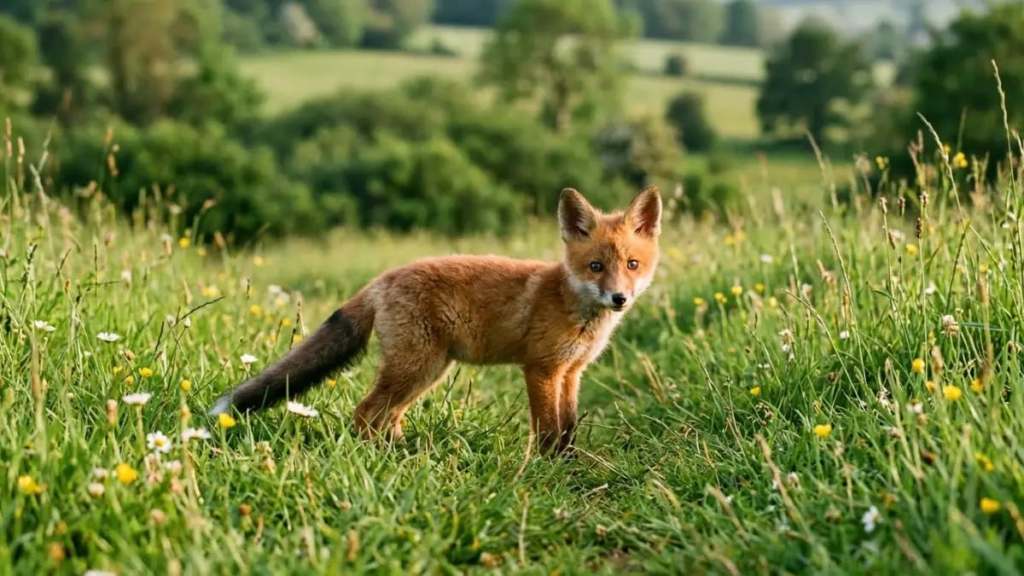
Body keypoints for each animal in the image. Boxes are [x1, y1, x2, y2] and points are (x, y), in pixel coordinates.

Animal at [209, 186, 662, 454]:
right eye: (596, 266)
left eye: (632, 265)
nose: (619, 298)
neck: (573, 306)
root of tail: (383, 278)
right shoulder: (541, 369)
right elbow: (548, 429)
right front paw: (548, 469)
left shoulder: (571, 373)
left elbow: (568, 427)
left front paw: (569, 464)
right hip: (417, 367)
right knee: (365, 412)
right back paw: (378, 457)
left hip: (428, 370)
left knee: (387, 415)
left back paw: (402, 453)